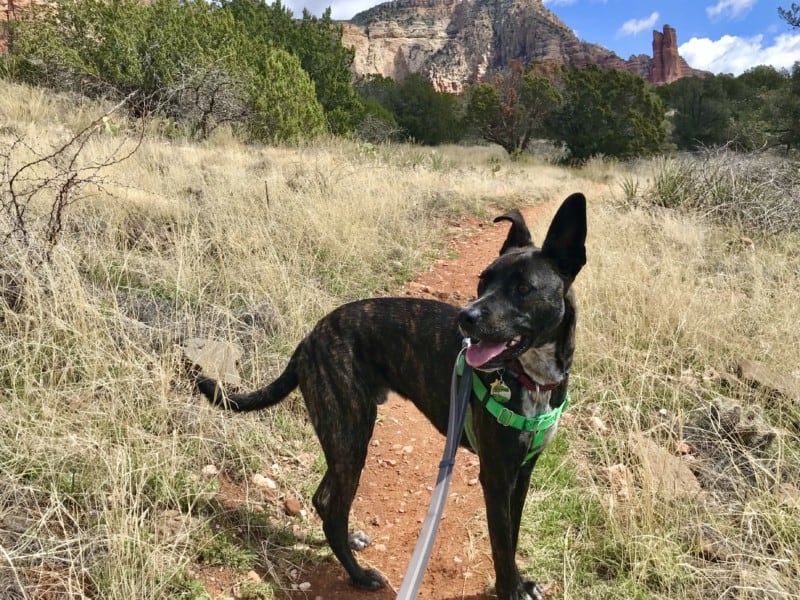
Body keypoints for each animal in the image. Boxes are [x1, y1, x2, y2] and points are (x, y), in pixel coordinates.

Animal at [198, 193, 588, 600]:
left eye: (524, 289)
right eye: (483, 281)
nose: (466, 317)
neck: (533, 379)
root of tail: (309, 338)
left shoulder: (523, 471)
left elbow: (511, 537)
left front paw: (518, 581)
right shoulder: (496, 476)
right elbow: (500, 544)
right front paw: (509, 589)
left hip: (346, 434)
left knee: (324, 498)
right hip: (350, 431)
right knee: (331, 505)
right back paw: (358, 574)